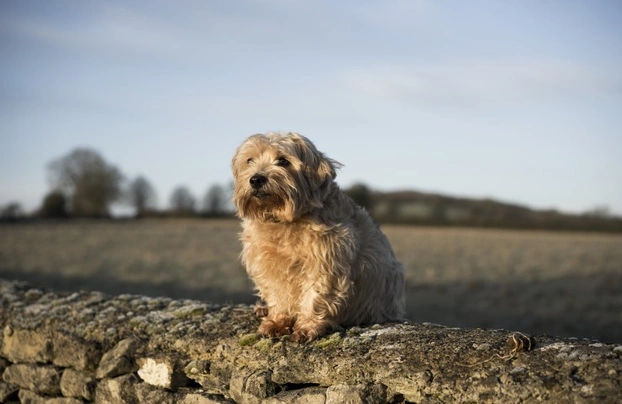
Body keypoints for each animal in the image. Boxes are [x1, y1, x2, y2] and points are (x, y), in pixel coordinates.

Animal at [232, 134, 408, 342]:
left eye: (283, 161)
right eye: (250, 160)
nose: (256, 179)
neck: (284, 222)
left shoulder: (325, 264)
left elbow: (315, 296)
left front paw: (307, 326)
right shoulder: (267, 265)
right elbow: (278, 296)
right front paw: (276, 322)